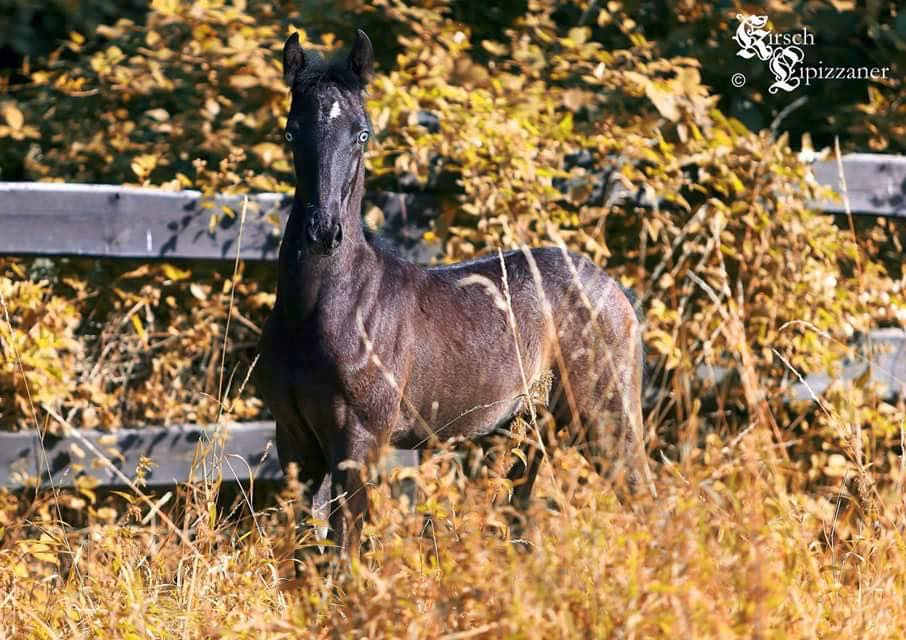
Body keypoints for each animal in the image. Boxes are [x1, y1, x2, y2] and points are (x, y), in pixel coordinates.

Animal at [254, 30, 656, 564]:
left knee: (643, 496)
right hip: (530, 427)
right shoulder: (294, 442)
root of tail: (615, 290)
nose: (324, 232)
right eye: (291, 132)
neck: (321, 313)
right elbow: (303, 554)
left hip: (606, 415)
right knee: (519, 512)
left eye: (362, 134)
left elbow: (345, 550)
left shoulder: (359, 440)